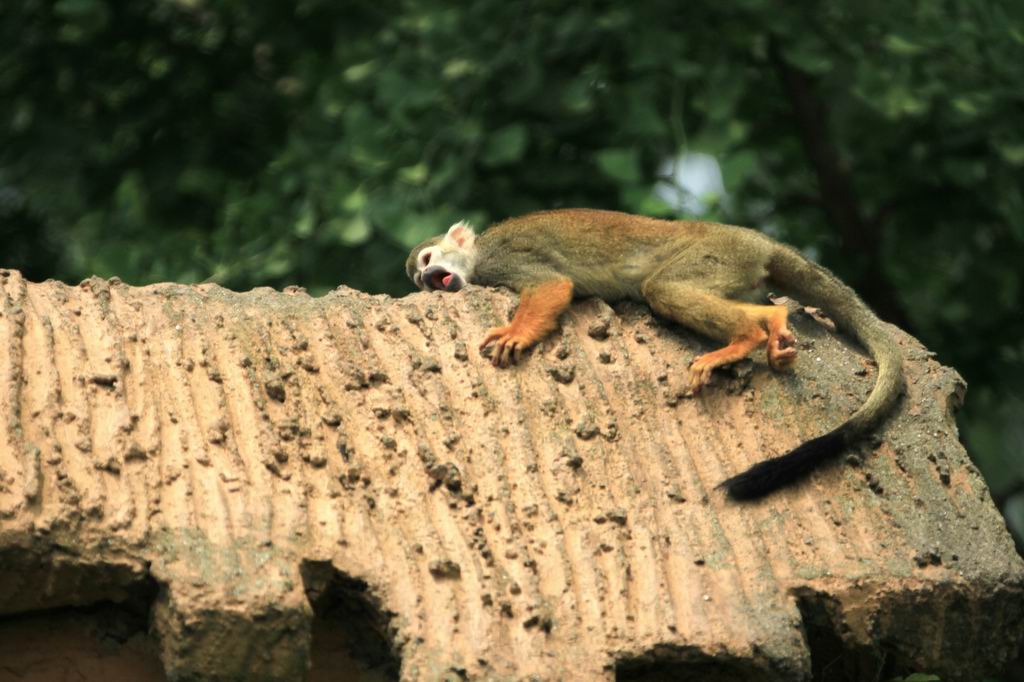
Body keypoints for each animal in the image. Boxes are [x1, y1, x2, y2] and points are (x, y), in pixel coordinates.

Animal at [403, 208, 901, 499]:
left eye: (427, 261)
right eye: (419, 280)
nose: (427, 280)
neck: (477, 258)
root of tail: (757, 240)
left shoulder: (504, 257)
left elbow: (551, 285)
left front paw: (516, 334)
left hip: (716, 253)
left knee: (662, 287)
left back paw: (744, 338)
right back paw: (771, 325)